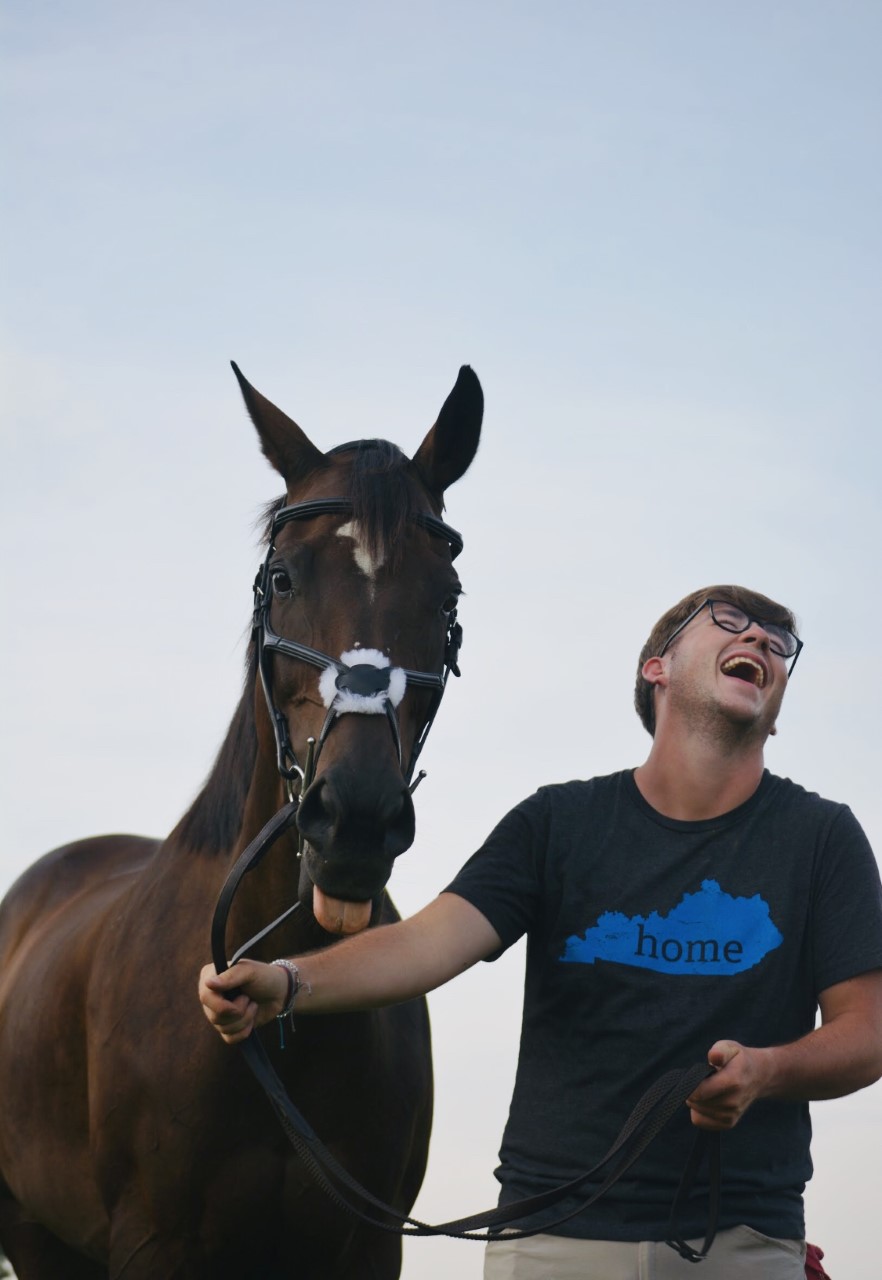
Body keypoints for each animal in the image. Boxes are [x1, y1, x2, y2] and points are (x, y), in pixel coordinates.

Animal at [0, 360, 481, 1280]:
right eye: (283, 577)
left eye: (446, 599)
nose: (354, 819)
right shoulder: (156, 1246)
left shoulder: (369, 1248)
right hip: (39, 1241)